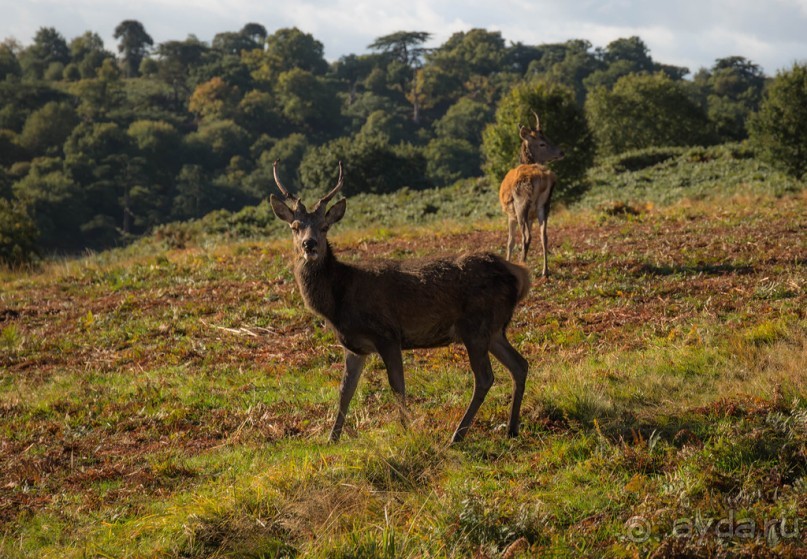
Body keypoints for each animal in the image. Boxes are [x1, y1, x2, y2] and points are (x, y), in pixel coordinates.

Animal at [272, 160, 532, 444]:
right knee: (520, 365)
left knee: (485, 377)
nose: (309, 245)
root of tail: (520, 274)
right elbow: (345, 391)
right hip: (494, 330)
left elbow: (397, 386)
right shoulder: (355, 347)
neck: (338, 301)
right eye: (295, 226)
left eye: (324, 226)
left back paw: (458, 434)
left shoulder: (387, 334)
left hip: (476, 324)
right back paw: (511, 427)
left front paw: (407, 430)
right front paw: (332, 439)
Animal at [502, 111, 564, 278]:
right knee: (544, 235)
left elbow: (510, 241)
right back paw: (545, 271)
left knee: (526, 236)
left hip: (521, 204)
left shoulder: (510, 215)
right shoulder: (531, 217)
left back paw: (522, 265)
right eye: (543, 142)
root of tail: (542, 178)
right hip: (544, 205)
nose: (561, 152)